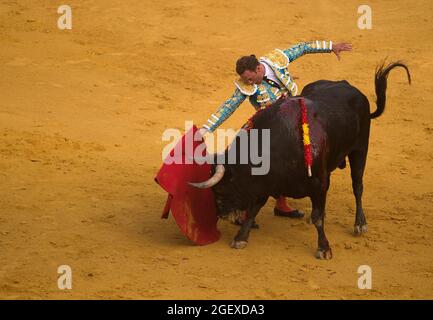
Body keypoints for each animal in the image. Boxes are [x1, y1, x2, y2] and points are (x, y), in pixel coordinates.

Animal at [191, 62, 410, 260]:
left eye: (219, 189)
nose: (221, 214)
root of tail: (353, 89)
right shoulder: (266, 183)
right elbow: (254, 209)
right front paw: (240, 237)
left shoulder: (318, 182)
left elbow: (318, 217)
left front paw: (324, 248)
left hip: (360, 149)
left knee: (357, 186)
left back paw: (360, 224)